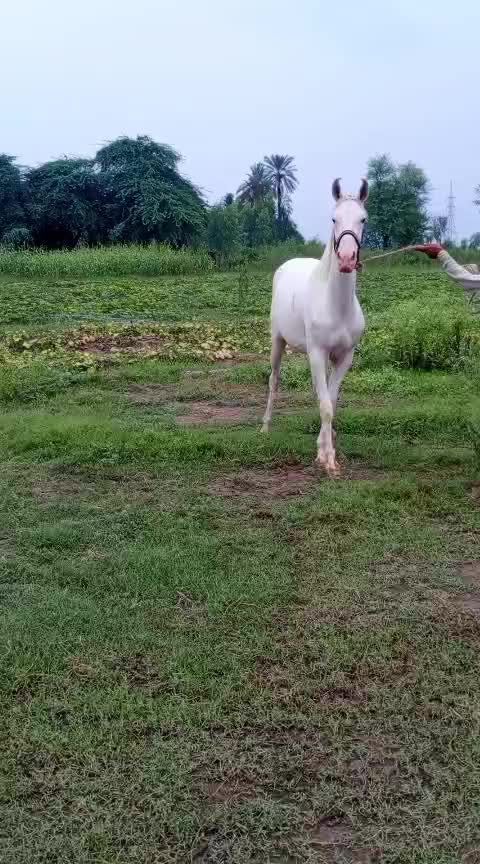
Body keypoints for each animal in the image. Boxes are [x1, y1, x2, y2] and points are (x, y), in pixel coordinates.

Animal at [261, 177, 369, 477]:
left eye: (363, 219)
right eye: (334, 218)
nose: (346, 259)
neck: (336, 305)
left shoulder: (344, 357)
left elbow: (329, 401)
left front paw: (324, 445)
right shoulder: (318, 353)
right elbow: (326, 406)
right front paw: (328, 459)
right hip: (277, 343)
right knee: (274, 380)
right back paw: (265, 426)